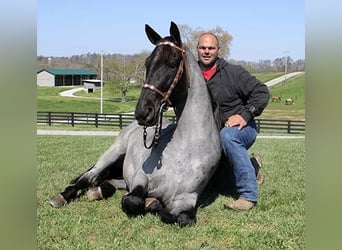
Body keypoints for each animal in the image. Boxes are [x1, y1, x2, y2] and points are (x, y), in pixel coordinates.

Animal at [48, 22, 222, 227]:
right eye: (147, 63)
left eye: (172, 63)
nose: (142, 112)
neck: (186, 150)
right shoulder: (140, 179)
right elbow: (133, 201)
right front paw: (148, 202)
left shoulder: (186, 199)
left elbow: (181, 218)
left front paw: (152, 203)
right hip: (112, 154)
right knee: (87, 178)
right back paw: (61, 197)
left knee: (106, 181)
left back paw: (98, 190)